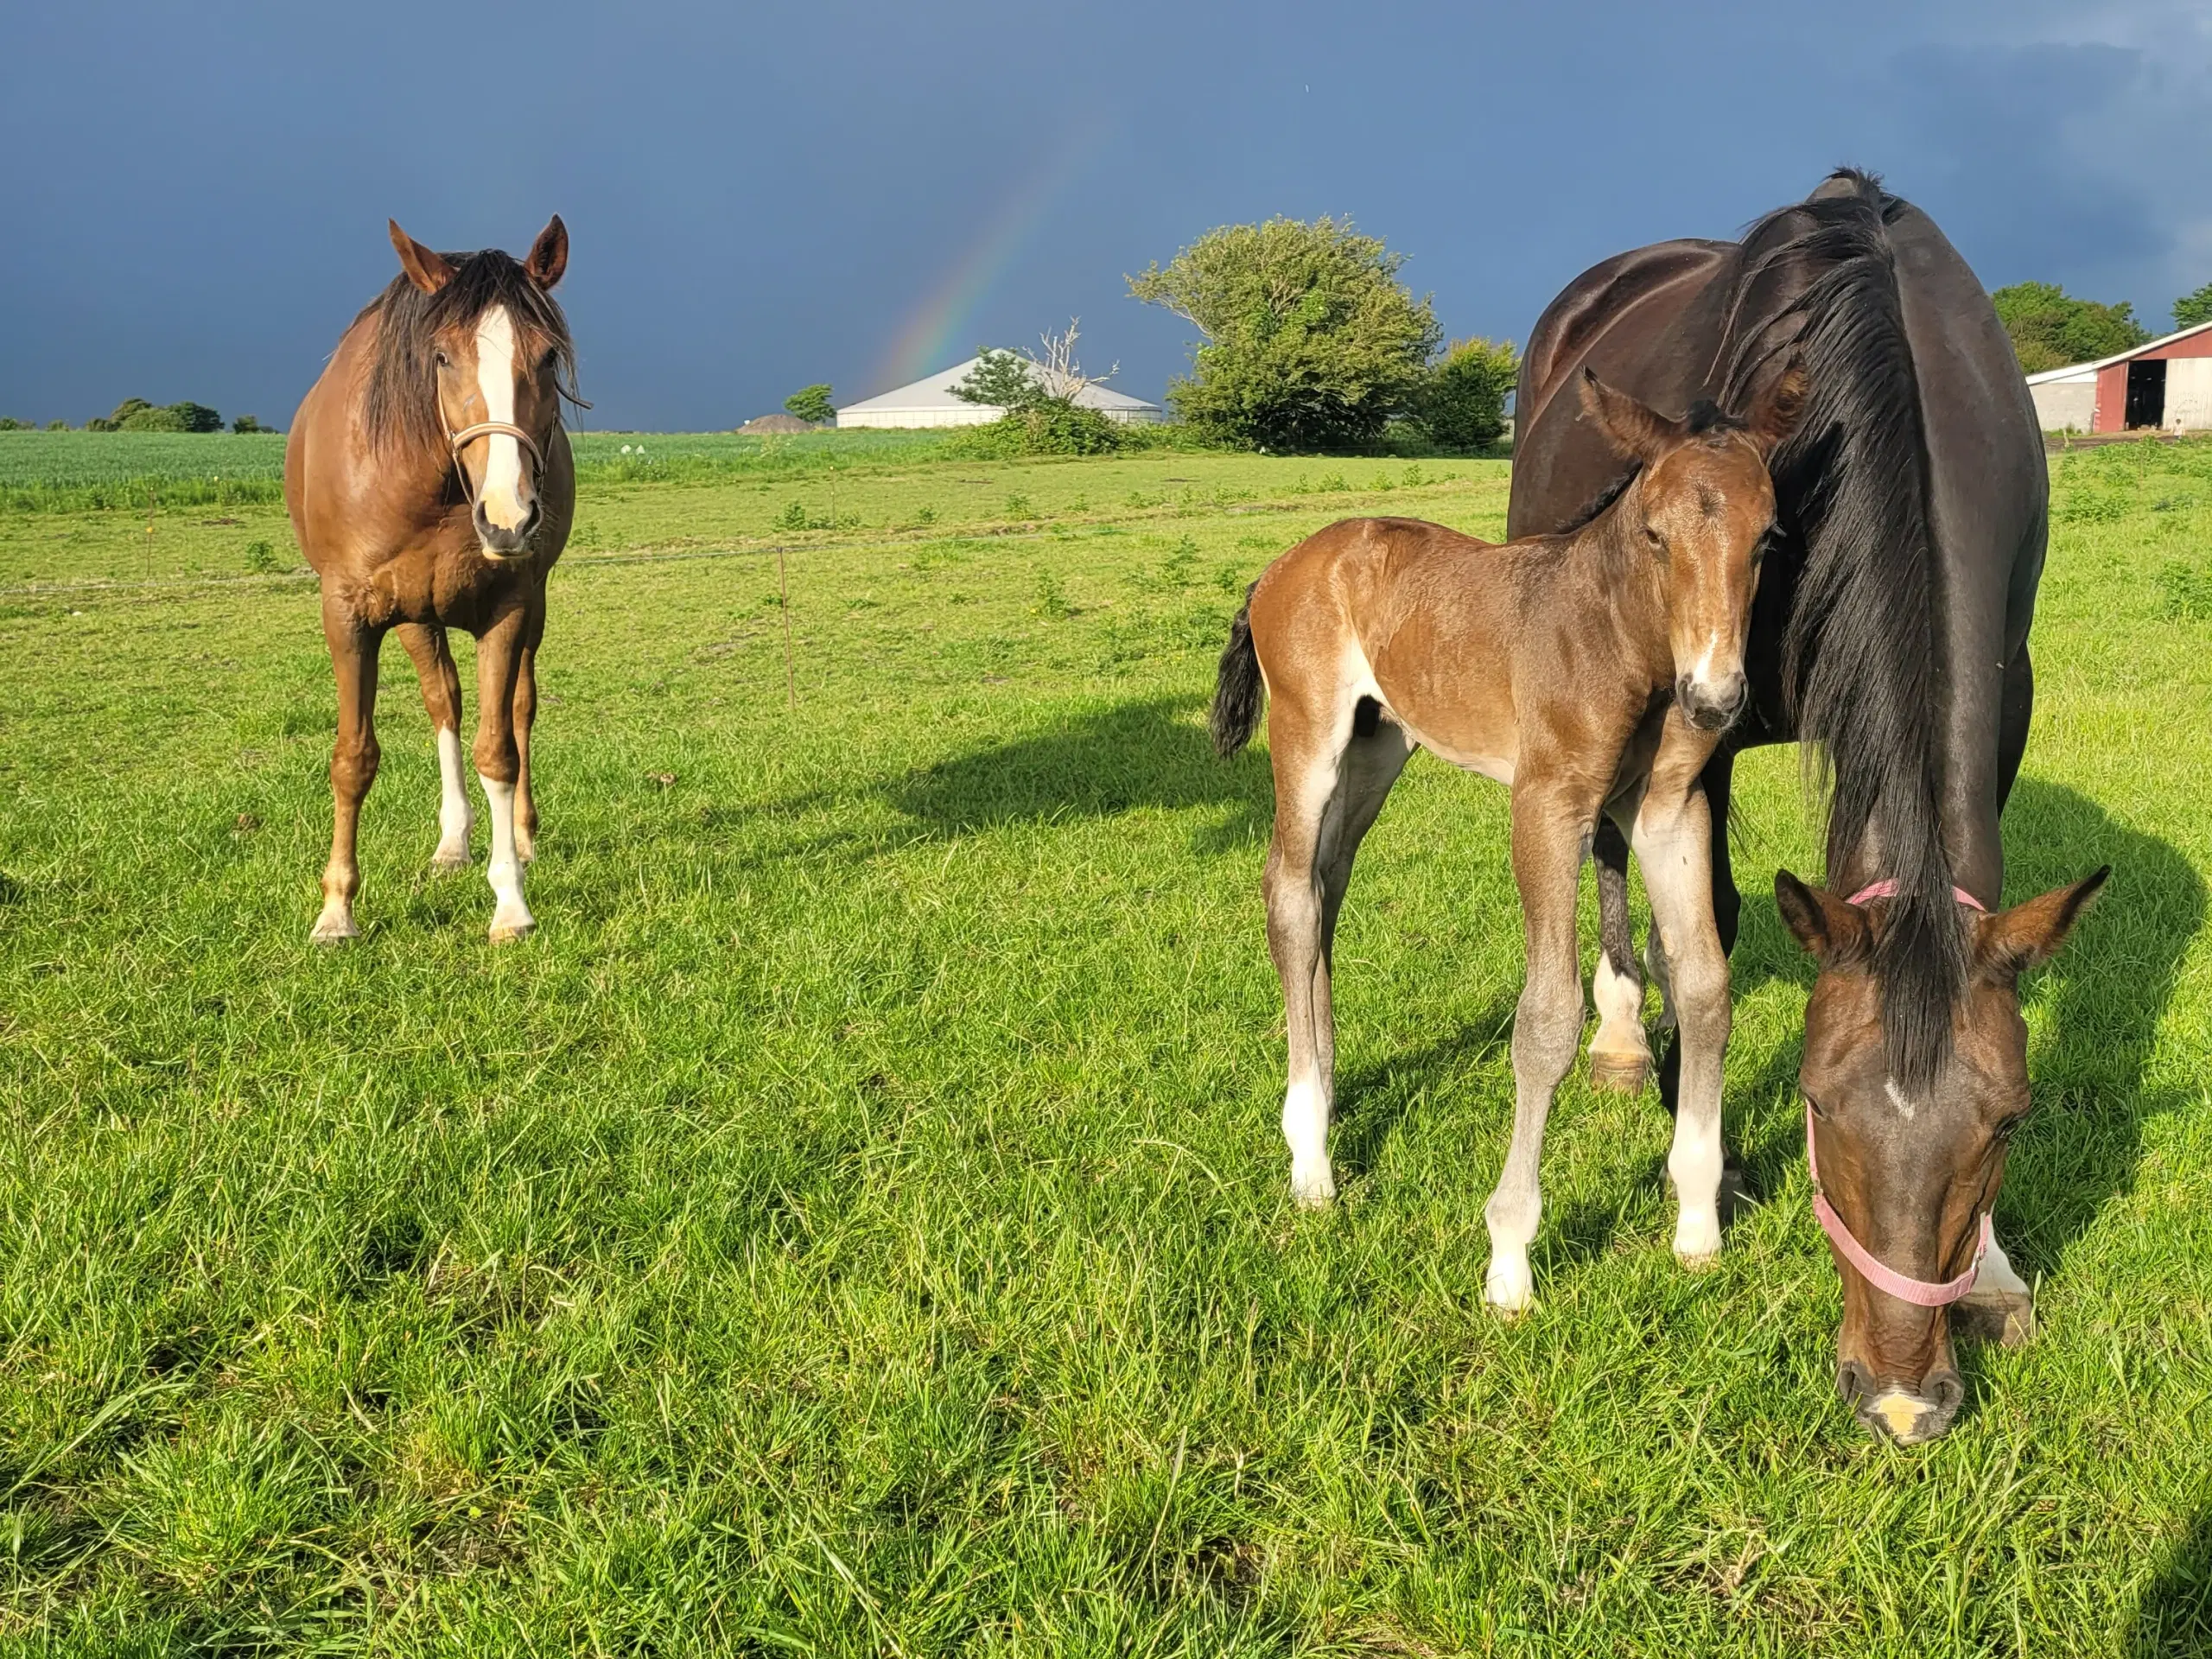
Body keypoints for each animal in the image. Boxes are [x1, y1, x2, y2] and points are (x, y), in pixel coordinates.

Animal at [283, 219, 579, 942]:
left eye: (547, 358)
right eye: (441, 357)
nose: (508, 516)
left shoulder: (507, 606)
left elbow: (499, 751)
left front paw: (511, 903)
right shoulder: (349, 615)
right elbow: (353, 758)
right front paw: (337, 909)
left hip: (531, 608)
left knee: (520, 709)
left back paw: (520, 836)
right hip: (417, 615)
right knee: (443, 701)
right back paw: (452, 843)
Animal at [1221, 369, 1804, 1318]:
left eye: (1767, 537)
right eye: (1654, 534)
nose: (1715, 698)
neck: (1622, 641)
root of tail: (1284, 564)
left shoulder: (1669, 811)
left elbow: (1706, 989)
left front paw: (1697, 1223)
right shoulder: (1547, 806)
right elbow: (1548, 1017)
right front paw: (1509, 1258)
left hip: (1380, 745)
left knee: (1327, 886)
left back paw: (1329, 1099)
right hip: (1306, 737)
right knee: (1289, 892)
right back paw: (1310, 1158)